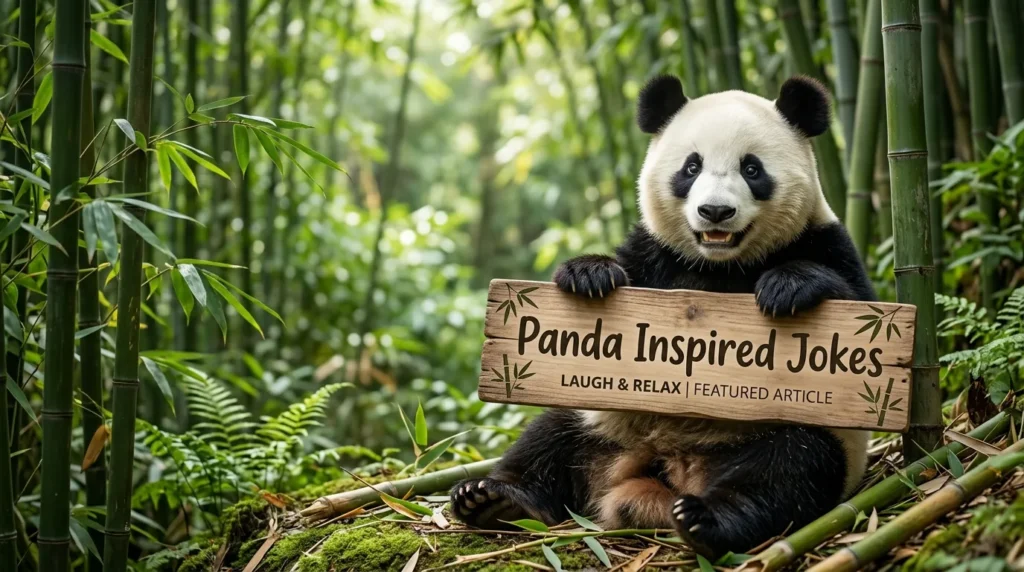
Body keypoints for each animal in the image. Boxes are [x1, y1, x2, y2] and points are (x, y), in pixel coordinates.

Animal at [450, 75, 875, 559]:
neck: (721, 264)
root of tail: (668, 468)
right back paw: (493, 500)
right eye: (691, 167)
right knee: (547, 437)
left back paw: (707, 520)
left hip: (793, 436)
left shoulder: (824, 240)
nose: (715, 212)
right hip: (600, 420)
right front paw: (589, 274)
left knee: (788, 469)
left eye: (752, 169)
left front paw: (787, 287)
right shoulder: (655, 253)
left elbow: (860, 307)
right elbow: (623, 269)